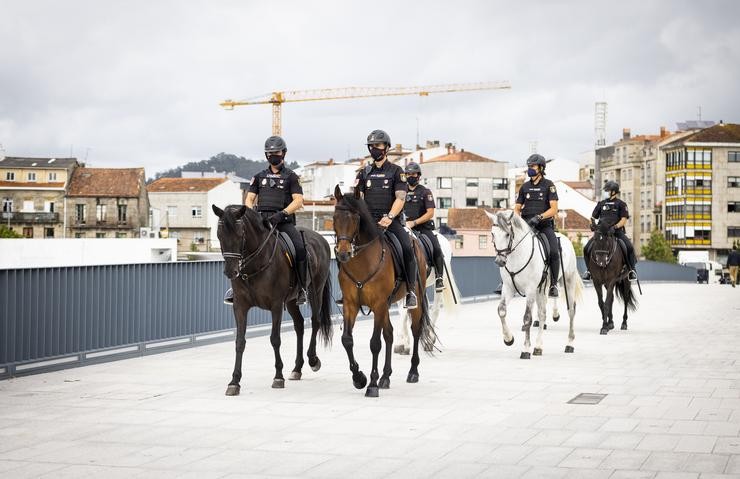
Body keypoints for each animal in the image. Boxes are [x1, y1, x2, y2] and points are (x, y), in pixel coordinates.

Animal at [211, 204, 332, 396]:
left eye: (240, 235)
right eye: (219, 234)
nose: (231, 271)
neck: (255, 265)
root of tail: (321, 239)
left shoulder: (276, 305)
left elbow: (275, 339)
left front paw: (278, 377)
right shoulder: (240, 306)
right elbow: (240, 341)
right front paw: (234, 382)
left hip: (316, 291)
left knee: (315, 321)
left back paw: (313, 360)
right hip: (291, 300)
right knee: (299, 325)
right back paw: (297, 369)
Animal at [330, 186, 434, 400]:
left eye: (355, 218)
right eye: (335, 217)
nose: (343, 253)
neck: (362, 261)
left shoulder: (377, 304)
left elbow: (375, 343)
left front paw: (371, 384)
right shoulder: (351, 305)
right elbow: (347, 340)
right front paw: (359, 378)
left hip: (413, 301)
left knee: (415, 330)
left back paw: (413, 372)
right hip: (386, 305)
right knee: (390, 334)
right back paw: (386, 377)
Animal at [486, 211, 584, 360]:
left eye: (507, 234)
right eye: (492, 234)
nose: (499, 261)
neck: (517, 256)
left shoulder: (530, 289)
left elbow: (527, 318)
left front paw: (525, 349)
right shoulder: (508, 288)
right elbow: (502, 310)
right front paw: (508, 339)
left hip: (568, 282)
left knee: (571, 310)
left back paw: (569, 344)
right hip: (541, 290)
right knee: (542, 314)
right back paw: (538, 347)